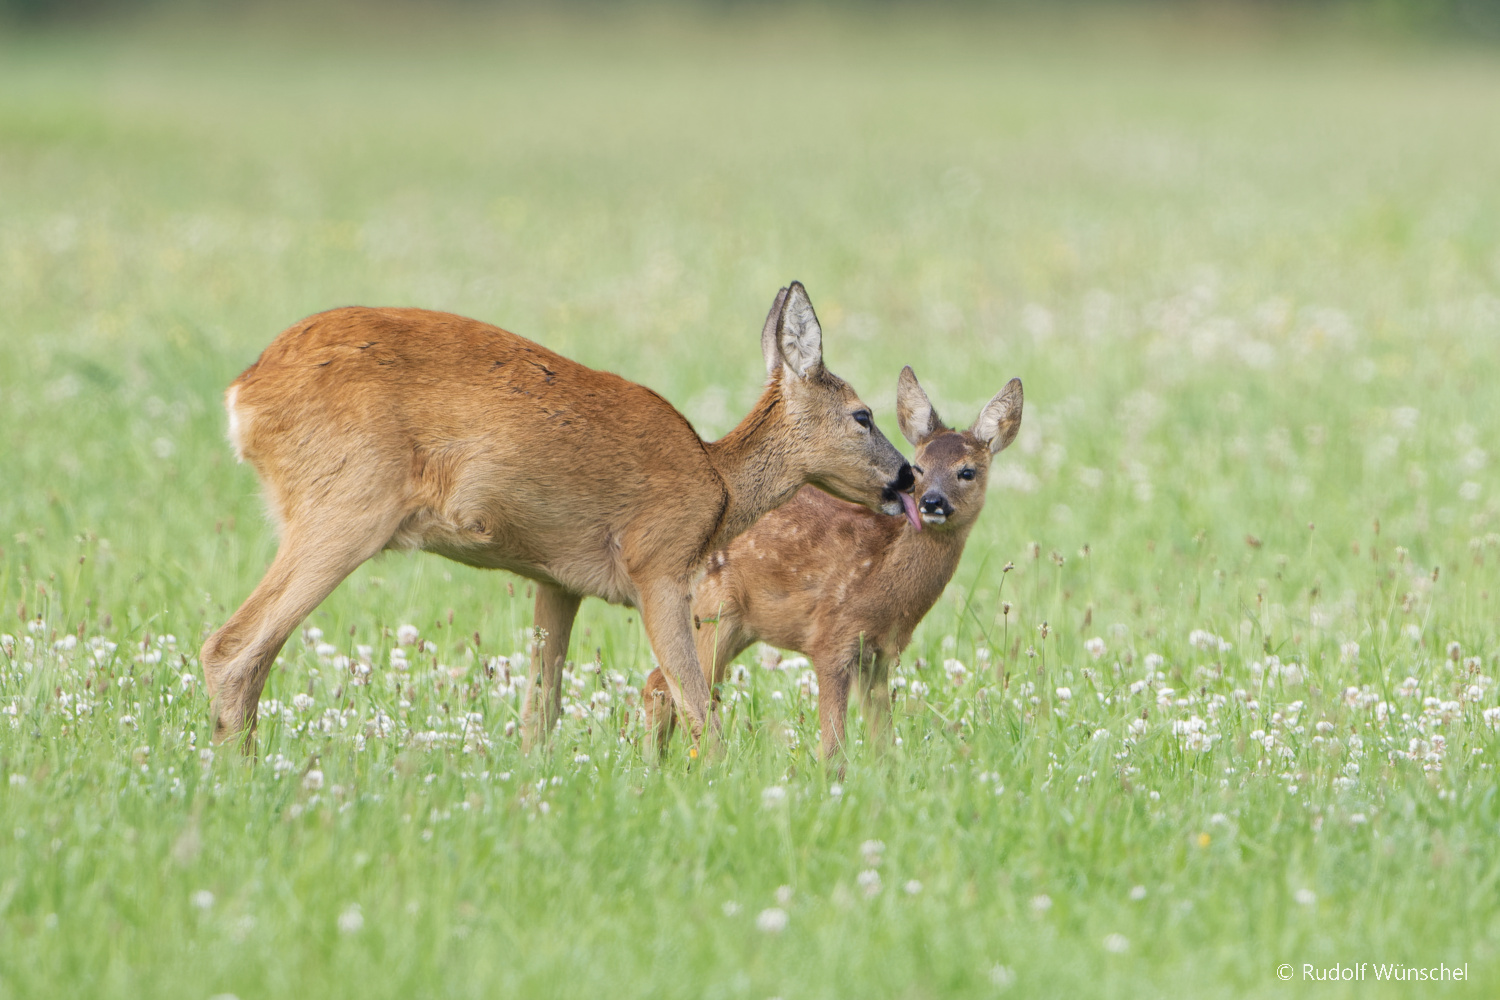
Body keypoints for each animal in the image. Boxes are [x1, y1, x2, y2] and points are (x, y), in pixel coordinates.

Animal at [193, 284, 906, 746]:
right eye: (863, 415)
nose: (906, 478)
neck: (720, 486)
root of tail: (241, 393)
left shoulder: (557, 581)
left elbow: (543, 711)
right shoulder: (658, 563)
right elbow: (695, 702)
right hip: (345, 505)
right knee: (232, 648)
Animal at [642, 364, 1020, 761]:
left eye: (967, 472)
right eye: (918, 469)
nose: (932, 501)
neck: (882, 576)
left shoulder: (881, 654)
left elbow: (882, 740)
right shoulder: (830, 638)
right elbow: (834, 746)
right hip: (712, 614)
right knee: (664, 684)